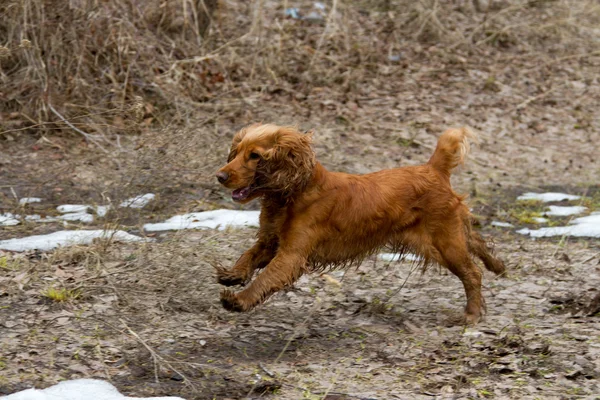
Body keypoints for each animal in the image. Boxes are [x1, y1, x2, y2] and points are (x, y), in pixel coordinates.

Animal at [213, 123, 504, 324]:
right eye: (236, 152)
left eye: (255, 155)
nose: (220, 176)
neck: (294, 193)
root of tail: (434, 168)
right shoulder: (271, 241)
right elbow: (249, 255)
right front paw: (233, 274)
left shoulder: (291, 255)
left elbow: (265, 279)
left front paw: (239, 301)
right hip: (447, 236)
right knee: (476, 241)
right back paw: (498, 266)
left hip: (445, 242)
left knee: (472, 273)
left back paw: (472, 314)